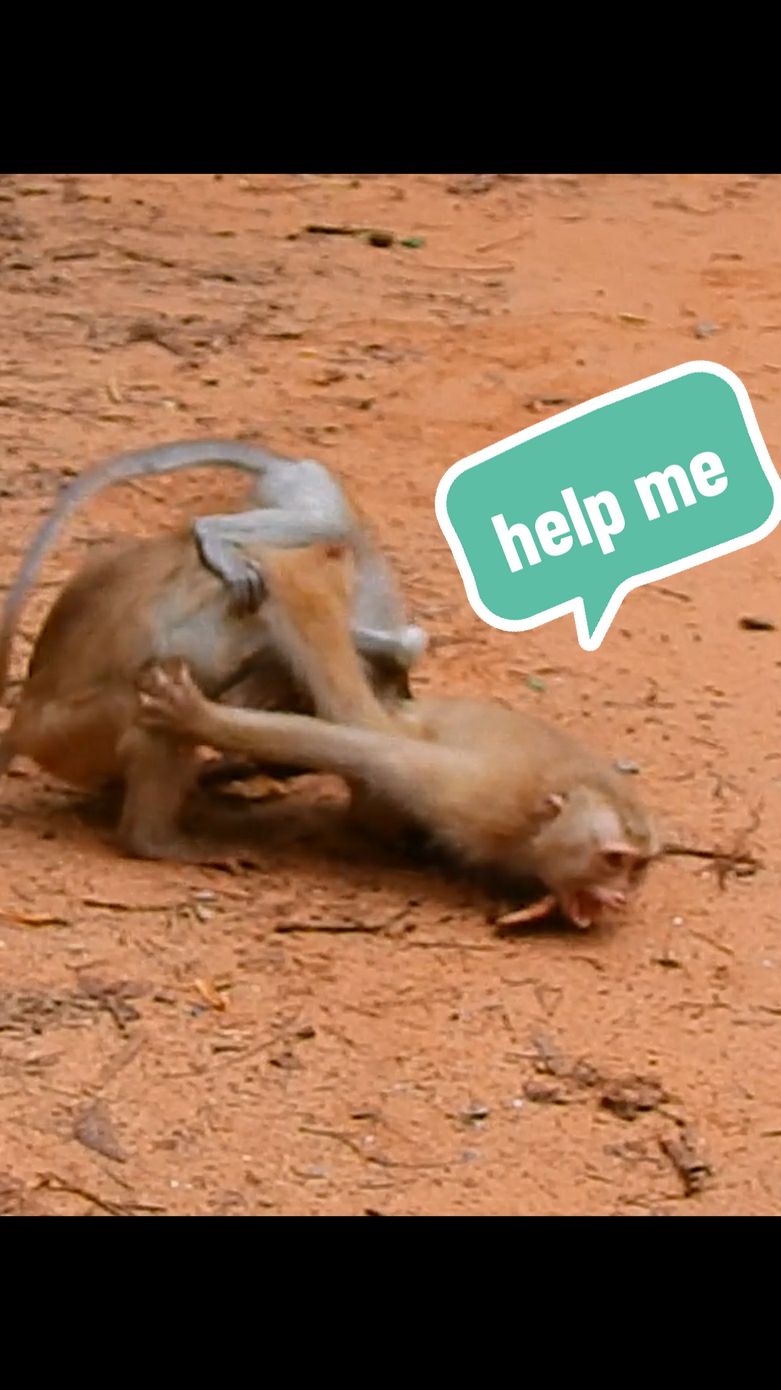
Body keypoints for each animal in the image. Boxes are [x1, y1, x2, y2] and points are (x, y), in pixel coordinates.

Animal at [136, 661, 661, 930]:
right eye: (613, 860)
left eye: (636, 867)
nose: (621, 897)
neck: (531, 826)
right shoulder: (476, 798)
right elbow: (371, 753)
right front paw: (199, 719)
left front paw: (543, 905)